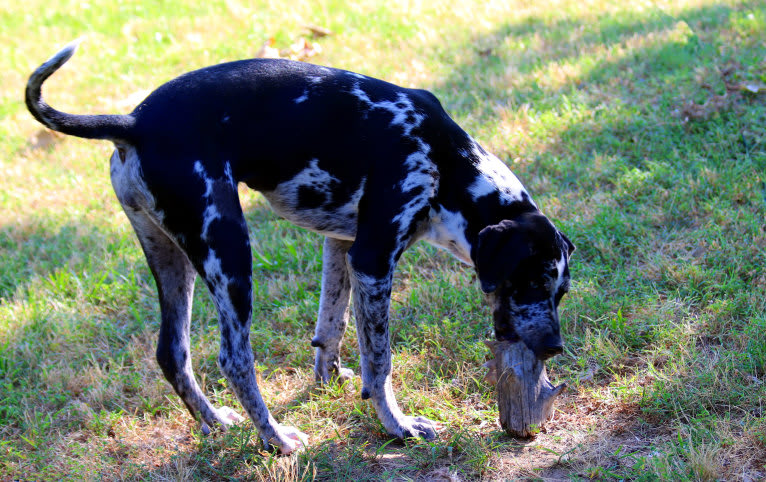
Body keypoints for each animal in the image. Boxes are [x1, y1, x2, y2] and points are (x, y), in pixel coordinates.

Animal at [25, 40, 576, 452]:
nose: (555, 345)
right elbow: (381, 360)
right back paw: (275, 439)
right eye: (532, 279)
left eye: (561, 292)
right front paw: (397, 425)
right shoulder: (374, 260)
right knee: (233, 358)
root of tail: (134, 123)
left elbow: (332, 327)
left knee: (172, 352)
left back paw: (217, 423)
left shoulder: (343, 247)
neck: (447, 163)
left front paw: (330, 381)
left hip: (171, 260)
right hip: (229, 252)